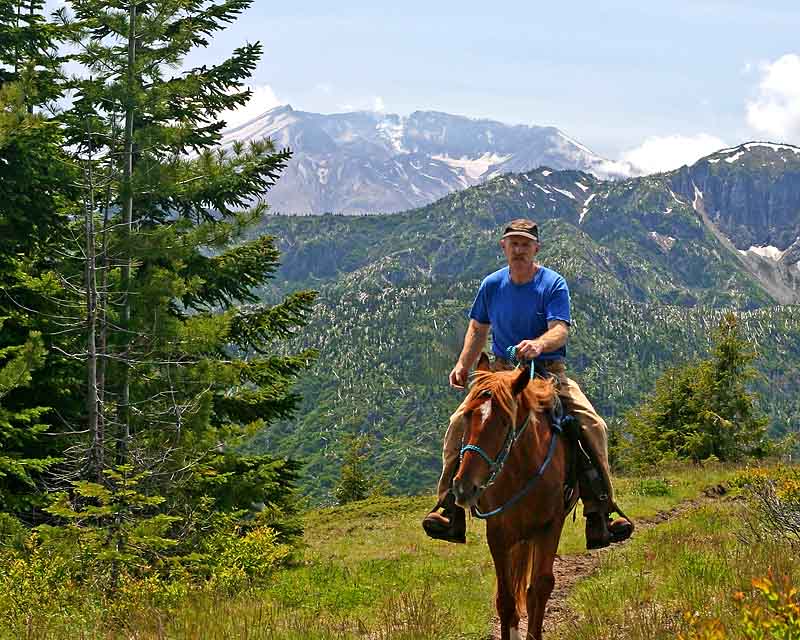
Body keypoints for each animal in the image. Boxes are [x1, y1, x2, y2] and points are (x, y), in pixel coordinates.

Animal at [450, 356, 576, 640]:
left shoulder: (550, 527)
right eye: (467, 416)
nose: (464, 488)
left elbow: (540, 588)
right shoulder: (498, 532)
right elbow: (506, 599)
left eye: (505, 422)